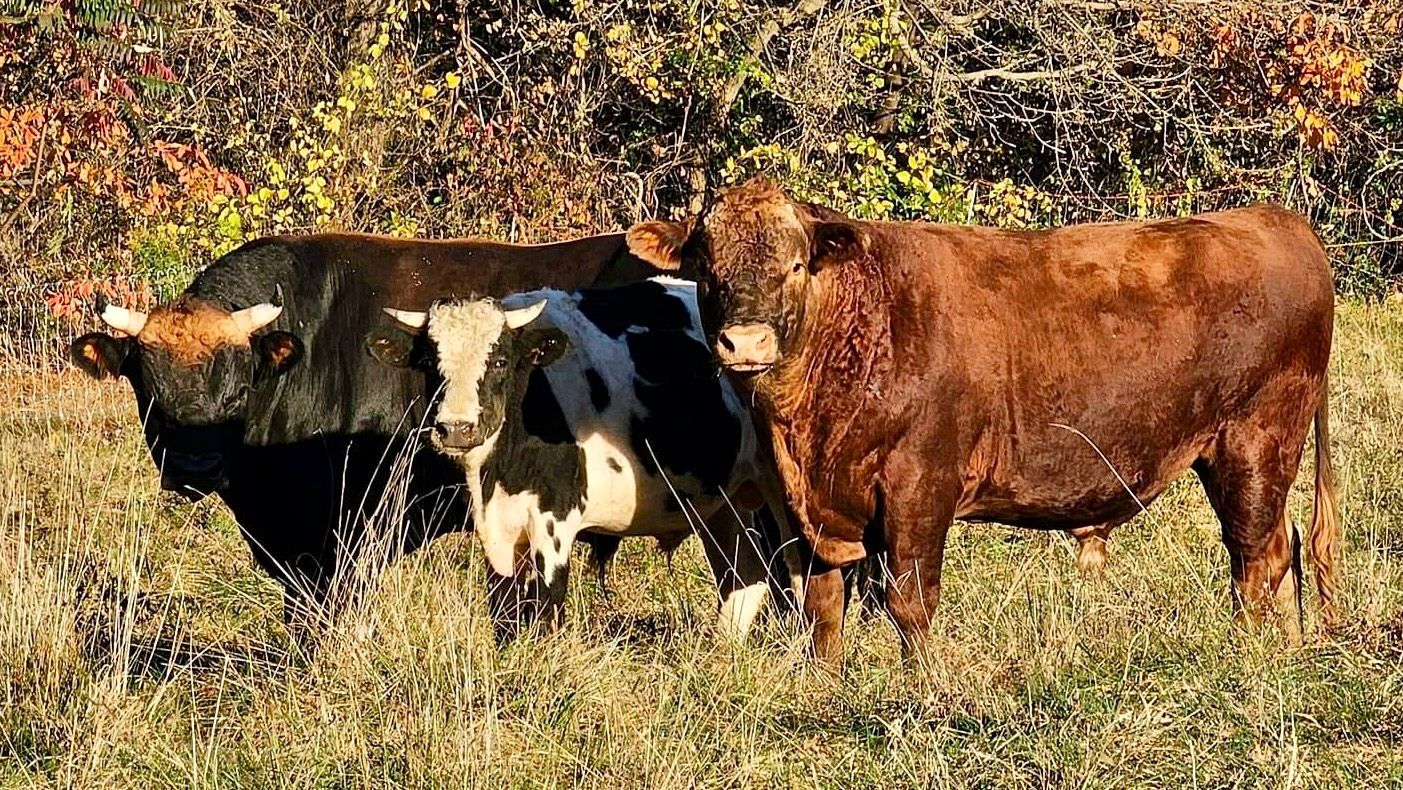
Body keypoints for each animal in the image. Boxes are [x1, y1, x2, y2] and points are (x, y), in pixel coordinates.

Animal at [369, 278, 786, 640]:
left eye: (500, 360)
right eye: (428, 362)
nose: (456, 428)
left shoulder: (553, 523)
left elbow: (546, 610)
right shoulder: (498, 528)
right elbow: (504, 613)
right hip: (723, 504)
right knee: (745, 577)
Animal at [625, 177, 1341, 665]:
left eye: (796, 264)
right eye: (707, 270)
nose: (745, 342)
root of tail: (1277, 220)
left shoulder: (920, 485)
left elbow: (909, 600)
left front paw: (925, 687)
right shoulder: (815, 508)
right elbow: (823, 601)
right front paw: (824, 678)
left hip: (1254, 445)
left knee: (1258, 557)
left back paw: (1247, 654)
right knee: (1279, 551)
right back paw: (1286, 651)